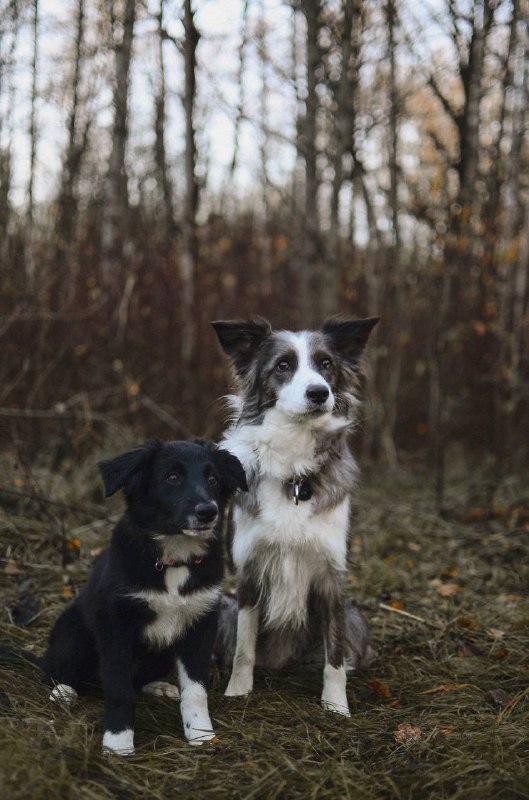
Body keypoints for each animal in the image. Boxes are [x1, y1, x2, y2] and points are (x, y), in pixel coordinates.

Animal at [42, 440, 245, 752]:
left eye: (212, 479)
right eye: (172, 477)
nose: (208, 511)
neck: (173, 560)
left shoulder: (200, 626)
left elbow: (196, 690)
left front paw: (201, 734)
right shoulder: (115, 625)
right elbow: (119, 689)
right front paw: (118, 742)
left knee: (138, 679)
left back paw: (158, 686)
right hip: (74, 635)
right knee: (53, 668)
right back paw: (63, 691)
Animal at [212, 316, 378, 716]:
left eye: (326, 364)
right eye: (283, 365)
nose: (319, 392)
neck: (294, 475)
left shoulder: (333, 578)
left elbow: (334, 656)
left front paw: (336, 706)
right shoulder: (249, 571)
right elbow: (245, 647)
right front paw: (237, 693)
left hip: (355, 616)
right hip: (223, 608)